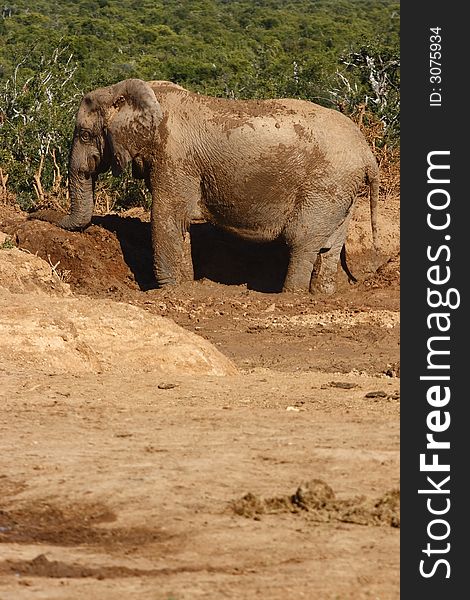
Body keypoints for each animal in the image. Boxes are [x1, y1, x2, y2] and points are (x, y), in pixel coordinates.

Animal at [32, 78, 378, 294]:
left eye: (85, 134)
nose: (35, 213)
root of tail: (367, 154)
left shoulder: (174, 156)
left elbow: (168, 218)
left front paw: (170, 290)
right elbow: (178, 223)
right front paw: (185, 286)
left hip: (325, 184)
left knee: (302, 241)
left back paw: (290, 295)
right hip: (340, 190)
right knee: (330, 245)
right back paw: (321, 295)